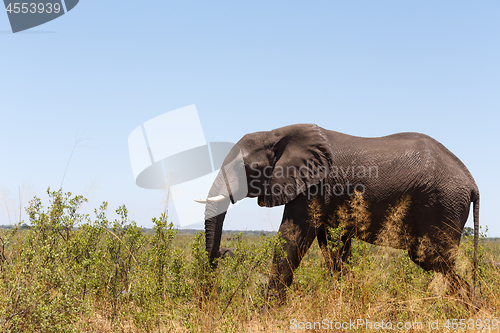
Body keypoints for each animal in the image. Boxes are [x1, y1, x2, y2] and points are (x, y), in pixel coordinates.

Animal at [194, 123, 476, 302]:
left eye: (247, 169)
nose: (223, 252)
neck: (276, 133)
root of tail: (472, 183)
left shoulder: (316, 186)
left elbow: (293, 236)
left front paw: (267, 314)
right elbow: (332, 247)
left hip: (442, 204)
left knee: (434, 259)